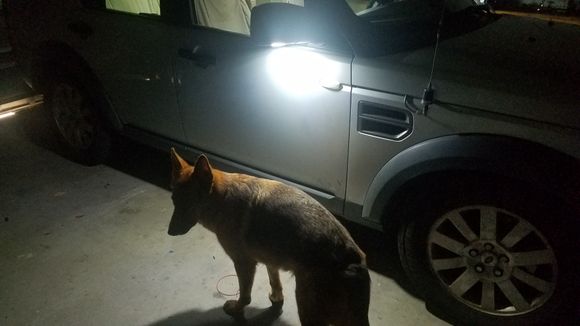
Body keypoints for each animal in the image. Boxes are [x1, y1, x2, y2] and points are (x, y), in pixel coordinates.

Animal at [168, 150, 370, 326]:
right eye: (174, 201)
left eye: (187, 204)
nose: (169, 232)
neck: (222, 197)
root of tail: (352, 259)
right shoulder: (270, 261)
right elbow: (275, 282)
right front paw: (276, 299)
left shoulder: (244, 264)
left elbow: (245, 296)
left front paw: (236, 309)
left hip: (306, 308)